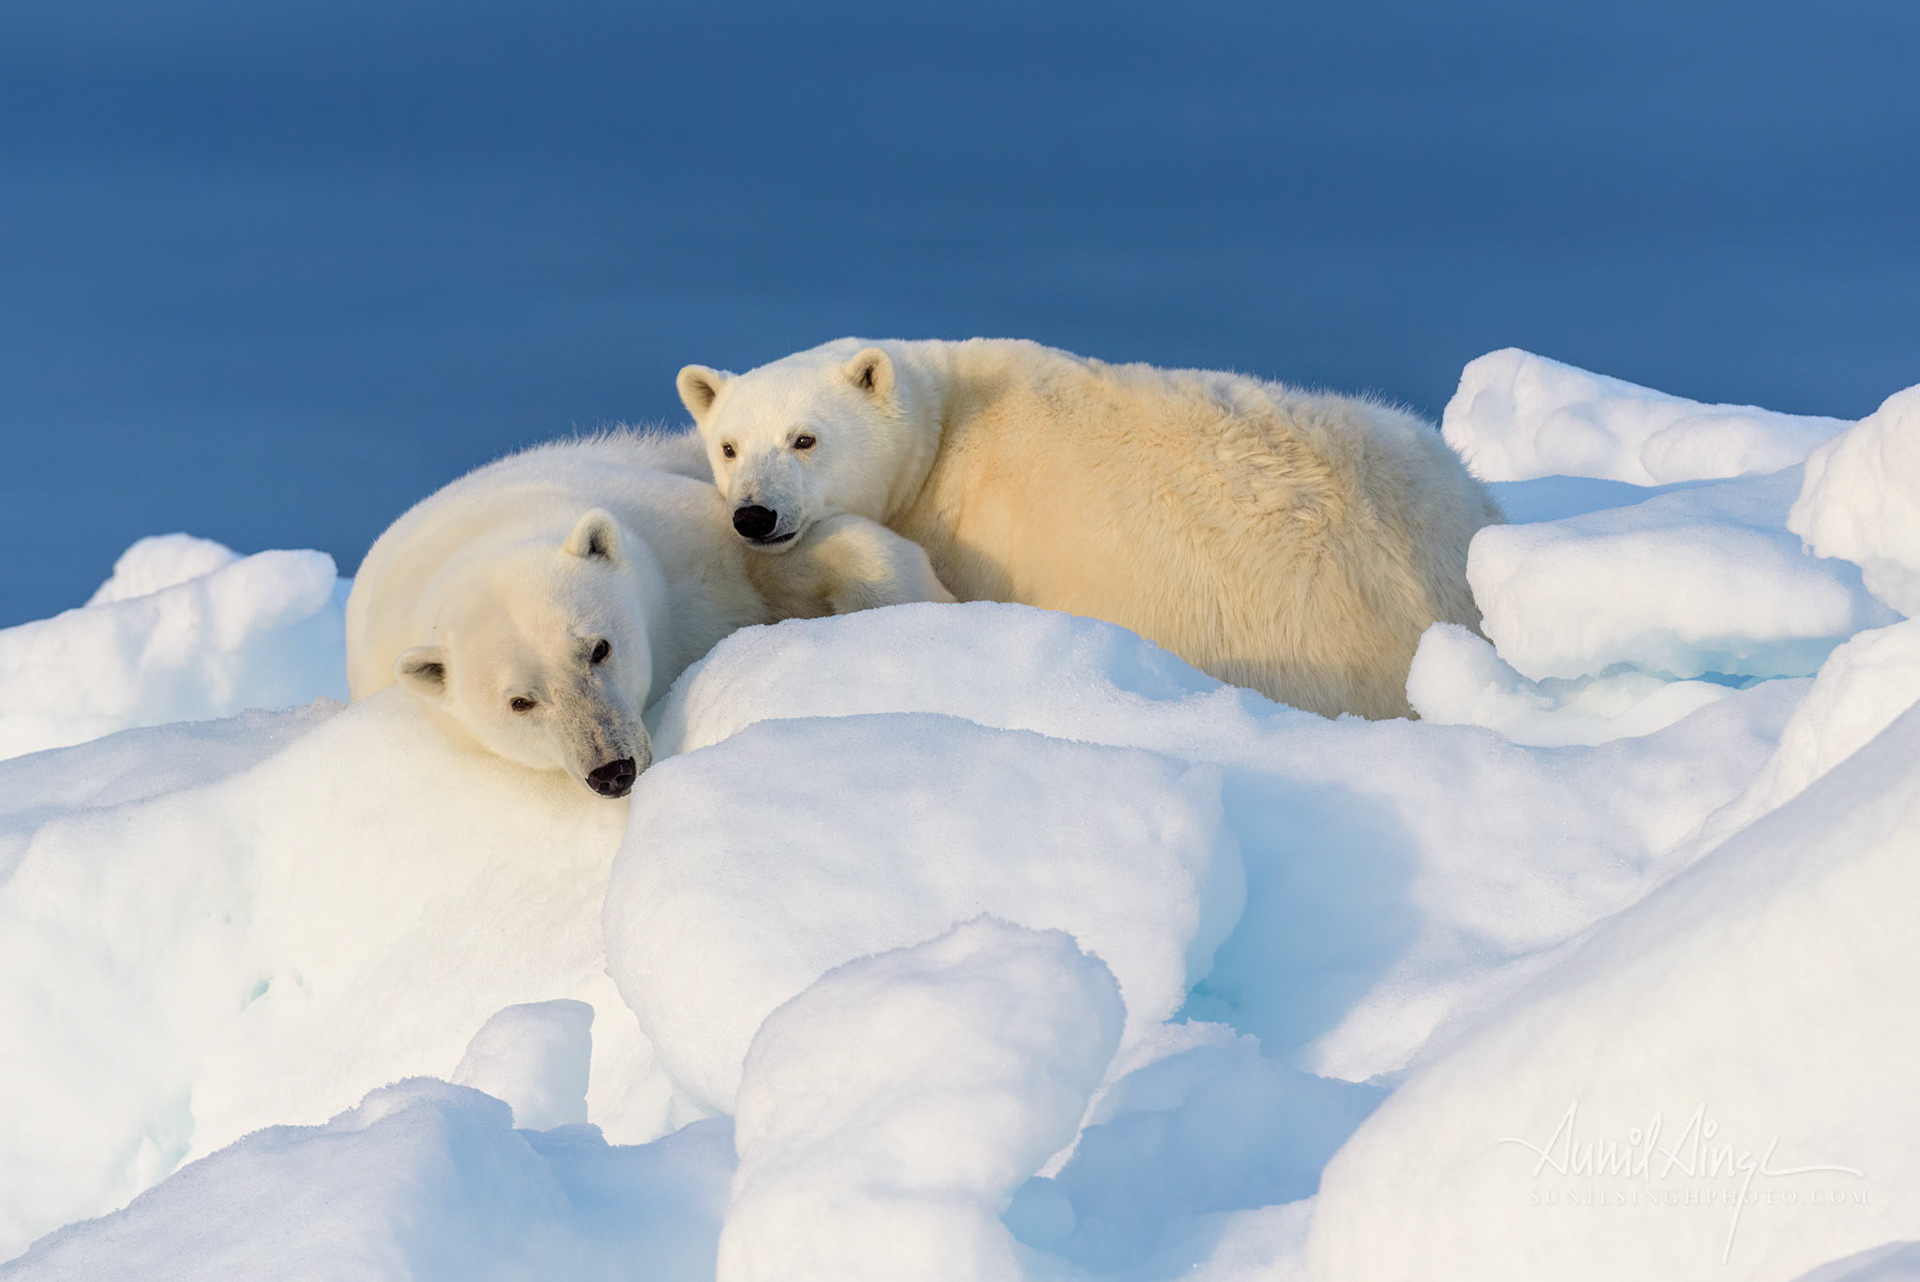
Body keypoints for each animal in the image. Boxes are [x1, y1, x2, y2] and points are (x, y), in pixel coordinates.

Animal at [345, 429, 951, 796]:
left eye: (599, 647)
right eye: (520, 702)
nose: (612, 771)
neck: (486, 532)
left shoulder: (673, 535)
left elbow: (776, 552)